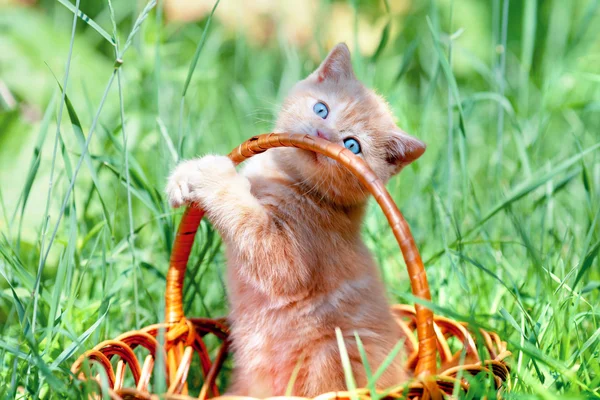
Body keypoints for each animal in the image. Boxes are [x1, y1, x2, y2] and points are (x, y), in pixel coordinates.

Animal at [166, 43, 424, 396]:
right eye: (321, 109)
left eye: (352, 145)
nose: (321, 133)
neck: (285, 177)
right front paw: (184, 176)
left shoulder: (290, 258)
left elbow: (248, 220)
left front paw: (214, 175)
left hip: (329, 356)